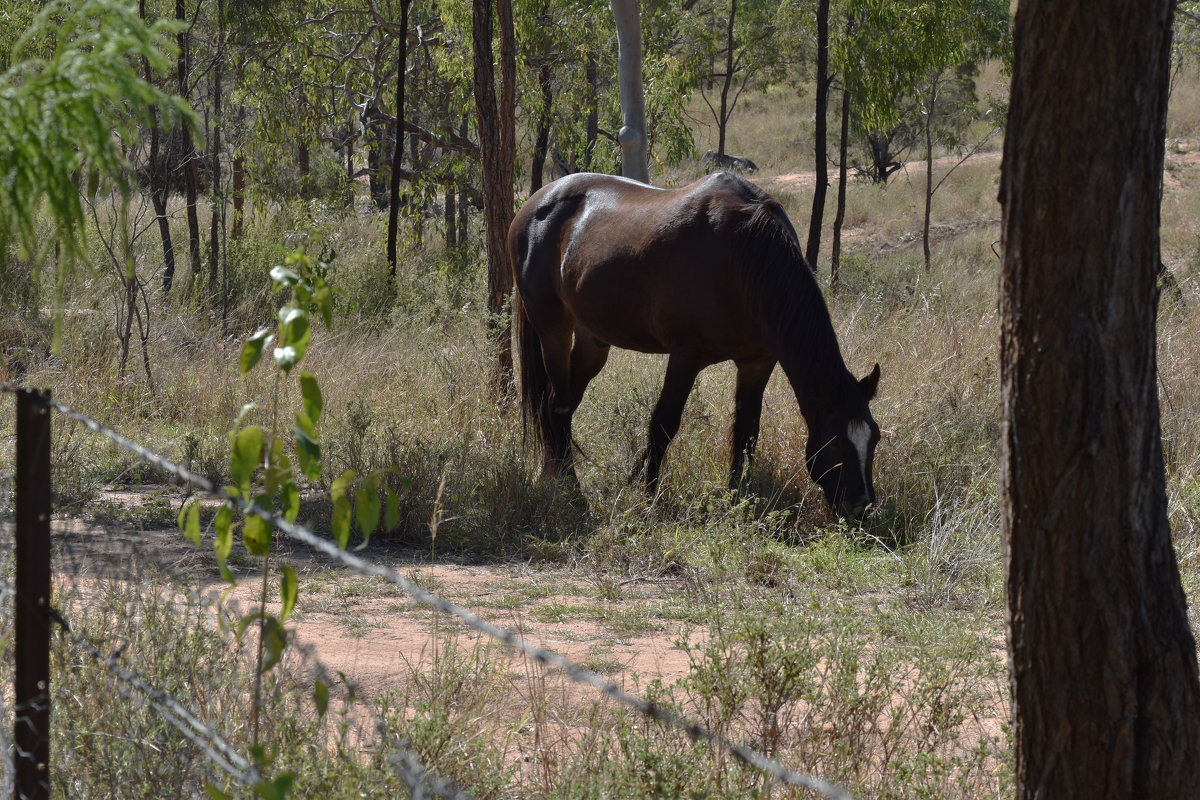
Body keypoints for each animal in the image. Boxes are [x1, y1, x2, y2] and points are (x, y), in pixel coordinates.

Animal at [506, 172, 883, 515]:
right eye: (835, 443)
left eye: (875, 437)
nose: (862, 507)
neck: (744, 254)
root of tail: (532, 204)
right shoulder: (685, 357)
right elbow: (663, 425)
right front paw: (648, 497)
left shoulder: (758, 361)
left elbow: (746, 431)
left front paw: (737, 500)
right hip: (553, 331)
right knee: (555, 408)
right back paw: (572, 490)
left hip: (593, 342)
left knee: (565, 405)